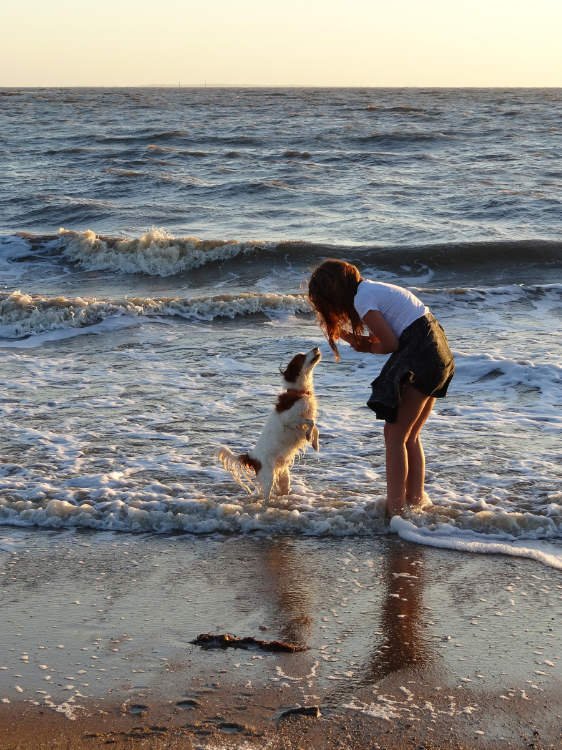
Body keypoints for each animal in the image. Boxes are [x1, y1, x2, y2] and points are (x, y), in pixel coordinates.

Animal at [217, 348, 320, 506]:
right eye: (302, 357)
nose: (316, 348)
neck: (299, 393)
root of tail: (252, 457)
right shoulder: (289, 419)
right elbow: (310, 423)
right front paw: (309, 436)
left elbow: (315, 427)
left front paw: (315, 443)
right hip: (269, 476)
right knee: (265, 496)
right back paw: (267, 505)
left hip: (283, 477)